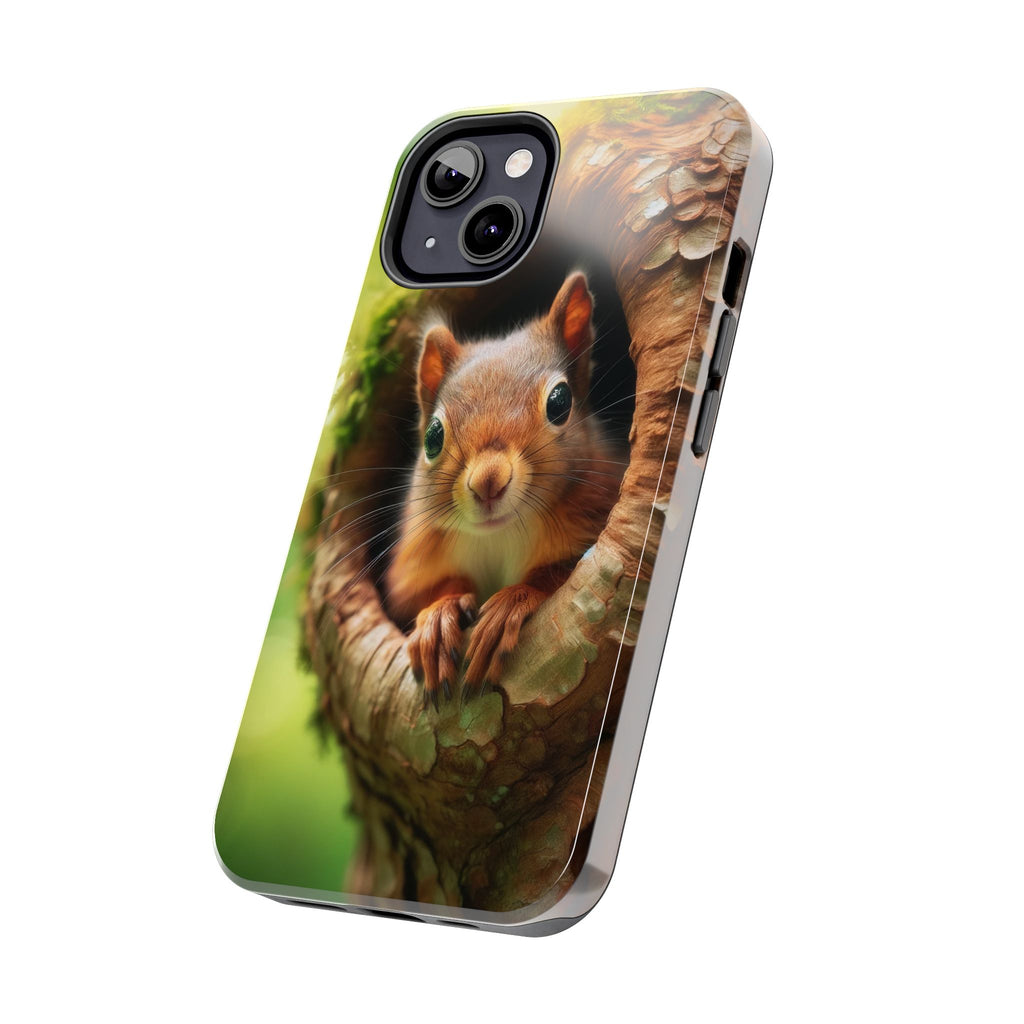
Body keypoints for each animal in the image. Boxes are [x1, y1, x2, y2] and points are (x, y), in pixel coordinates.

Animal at [385, 272, 625, 708]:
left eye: (560, 402)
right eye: (432, 436)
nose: (488, 481)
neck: (500, 536)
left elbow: (560, 572)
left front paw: (512, 602)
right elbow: (423, 594)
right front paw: (439, 617)